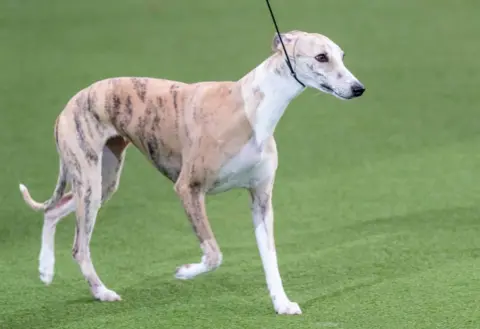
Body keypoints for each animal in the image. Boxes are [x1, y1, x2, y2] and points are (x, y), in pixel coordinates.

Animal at [17, 30, 364, 316]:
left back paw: (46, 269)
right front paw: (184, 271)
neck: (250, 108)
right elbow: (213, 254)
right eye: (321, 57)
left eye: (342, 55)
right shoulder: (189, 188)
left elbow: (270, 258)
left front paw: (282, 304)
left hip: (103, 181)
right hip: (89, 182)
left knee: (53, 211)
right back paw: (101, 291)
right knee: (79, 246)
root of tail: (69, 104)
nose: (358, 88)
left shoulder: (261, 198)